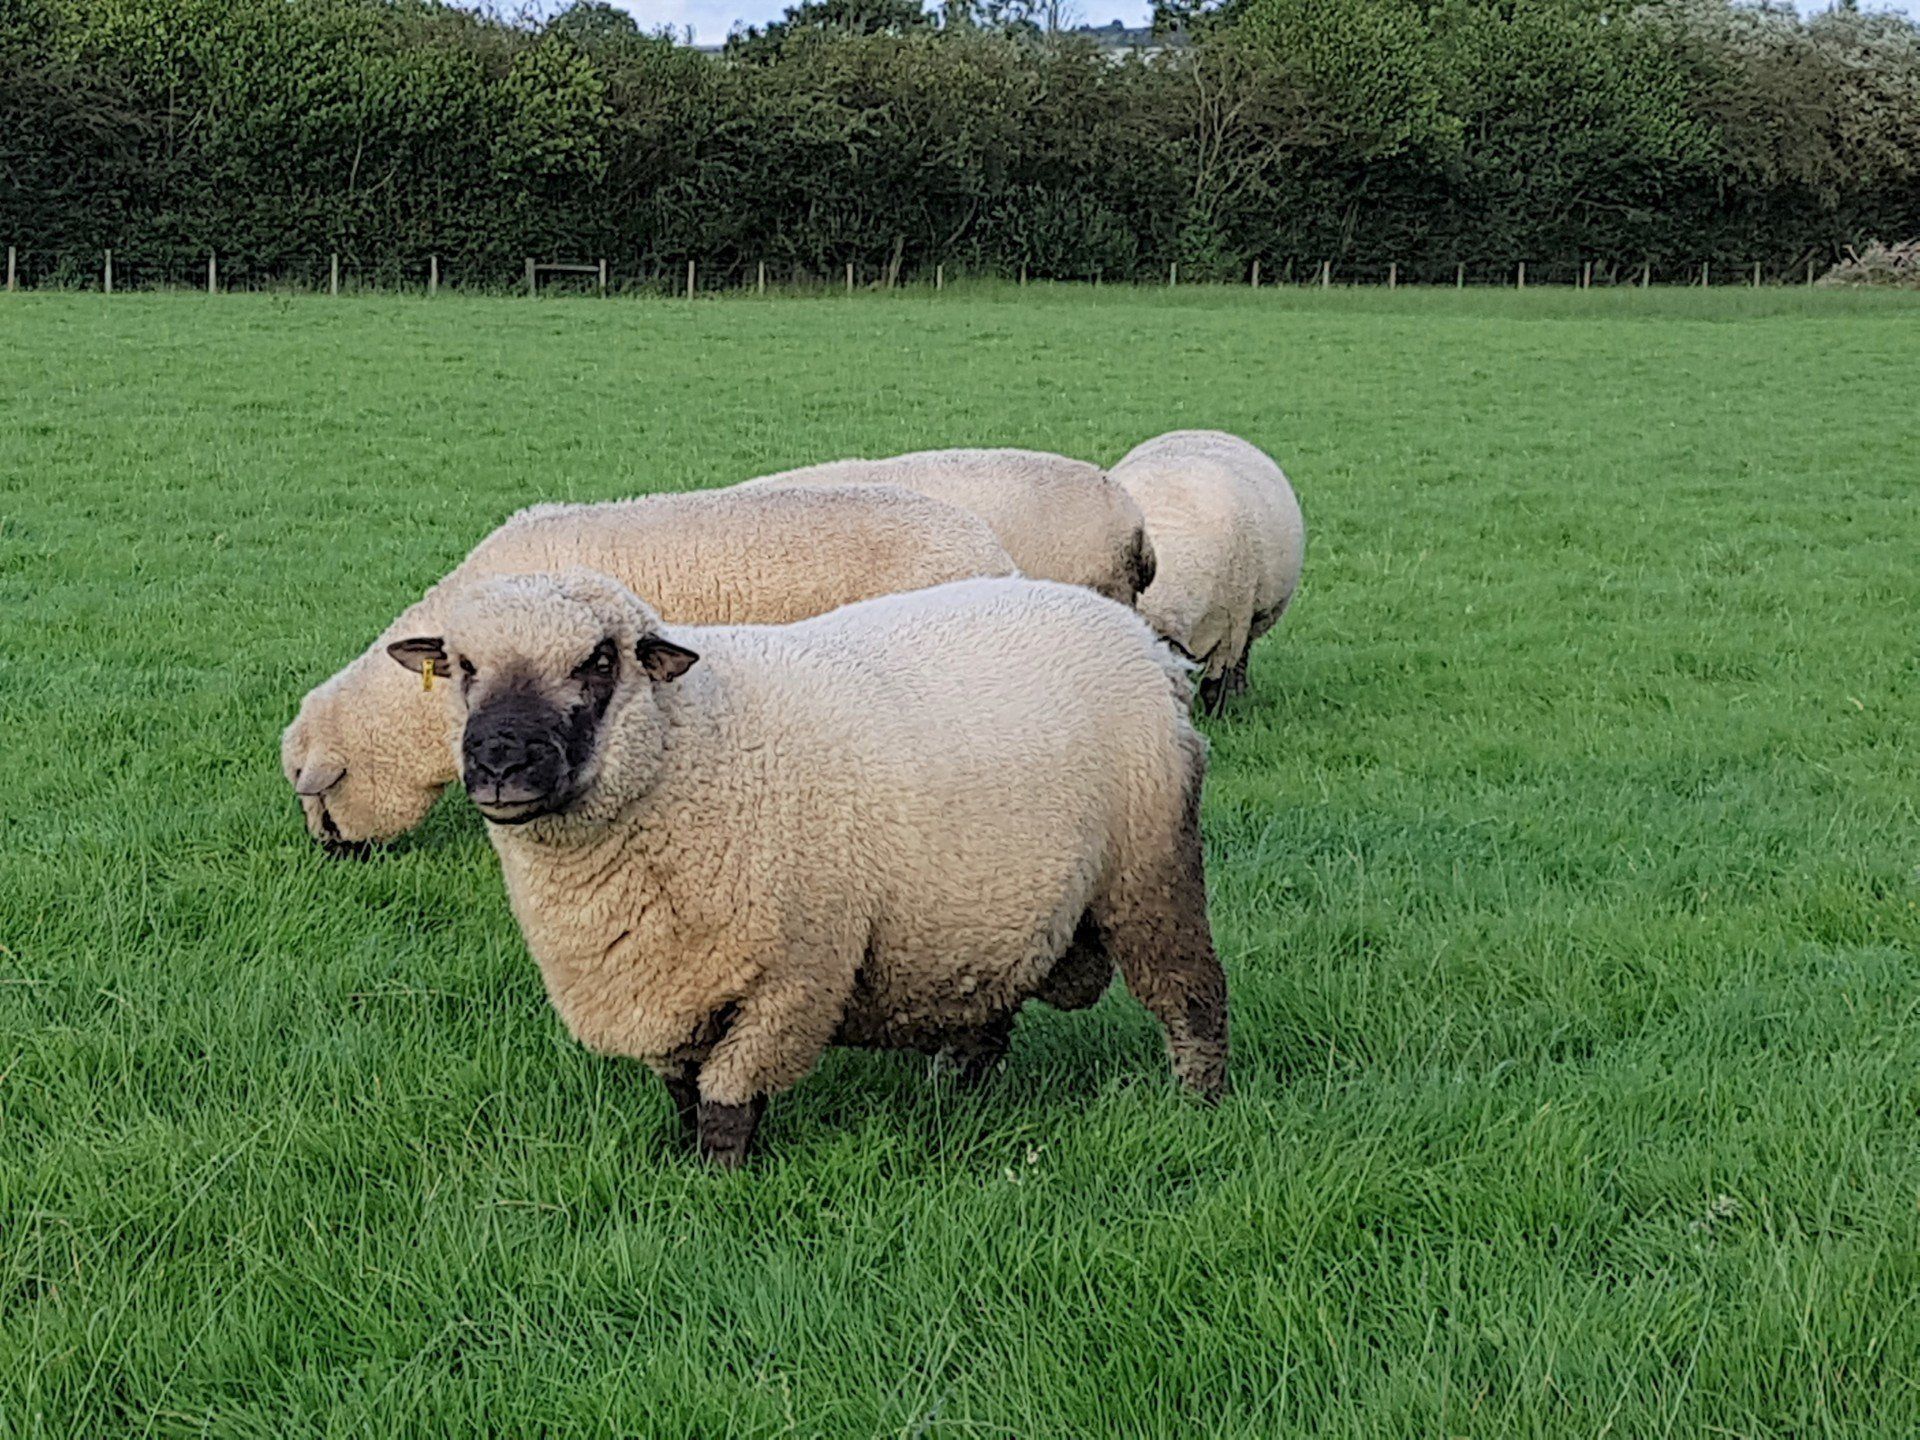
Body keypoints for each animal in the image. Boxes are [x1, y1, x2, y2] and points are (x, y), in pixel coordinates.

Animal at [384, 571, 1228, 1167]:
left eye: (598, 660)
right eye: (461, 665)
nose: (500, 760)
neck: (693, 745)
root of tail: (1144, 641)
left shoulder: (793, 977)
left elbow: (727, 1103)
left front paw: (717, 1187)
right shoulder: (666, 983)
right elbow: (684, 1095)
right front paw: (682, 1169)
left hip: (1150, 868)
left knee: (1192, 995)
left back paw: (1202, 1105)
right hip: (981, 910)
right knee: (984, 1016)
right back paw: (955, 1104)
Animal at [1109, 430, 1305, 714]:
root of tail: (1205, 431)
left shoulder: (1231, 627)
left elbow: (1215, 683)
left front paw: (1215, 715)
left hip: (1257, 613)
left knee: (1243, 654)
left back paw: (1238, 692)